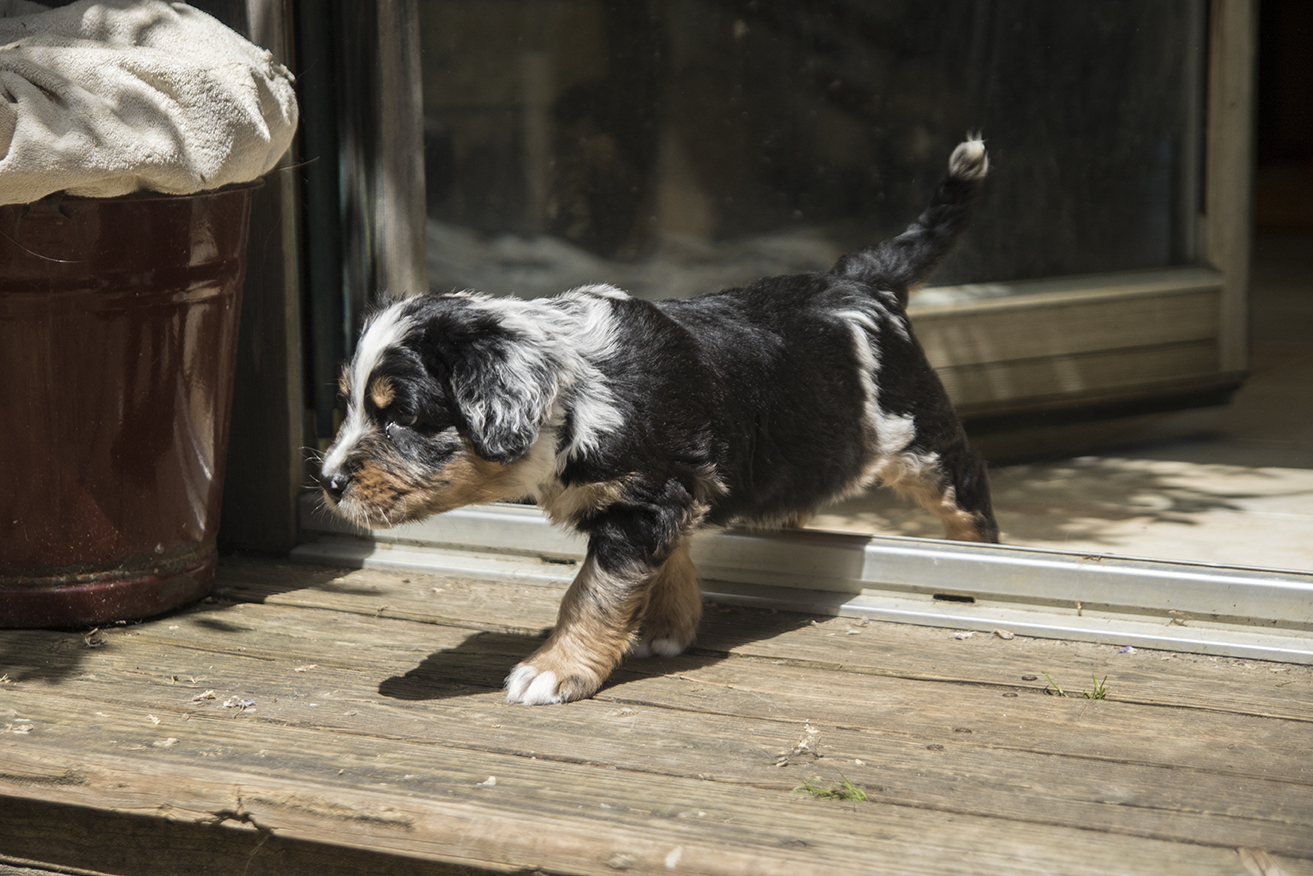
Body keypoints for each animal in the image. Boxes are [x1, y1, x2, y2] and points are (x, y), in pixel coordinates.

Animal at [320, 137, 998, 705]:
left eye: (402, 416)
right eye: (350, 405)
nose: (327, 483)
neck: (576, 396)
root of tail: (862, 281)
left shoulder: (644, 500)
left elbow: (590, 590)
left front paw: (552, 670)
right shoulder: (673, 494)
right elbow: (662, 561)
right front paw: (667, 627)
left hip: (925, 440)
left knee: (970, 503)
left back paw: (974, 570)